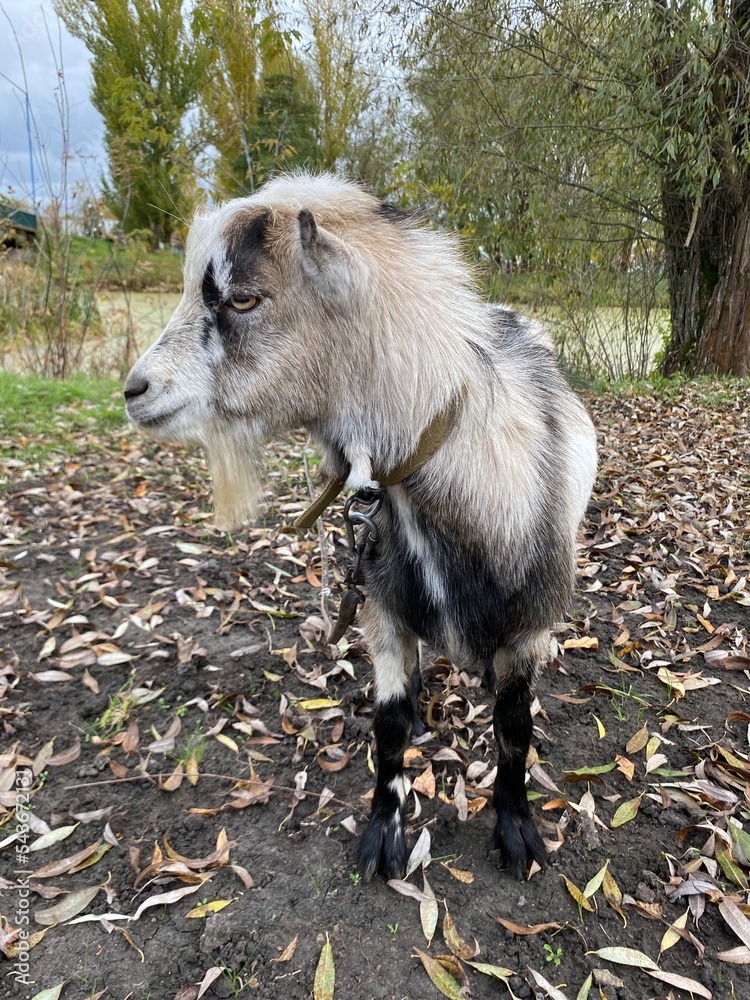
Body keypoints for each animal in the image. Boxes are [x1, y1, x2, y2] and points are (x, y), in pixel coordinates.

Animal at [124, 173, 598, 881]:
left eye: (243, 297)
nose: (135, 391)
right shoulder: (383, 610)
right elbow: (391, 724)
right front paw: (382, 836)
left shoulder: (530, 623)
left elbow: (515, 728)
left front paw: (517, 834)